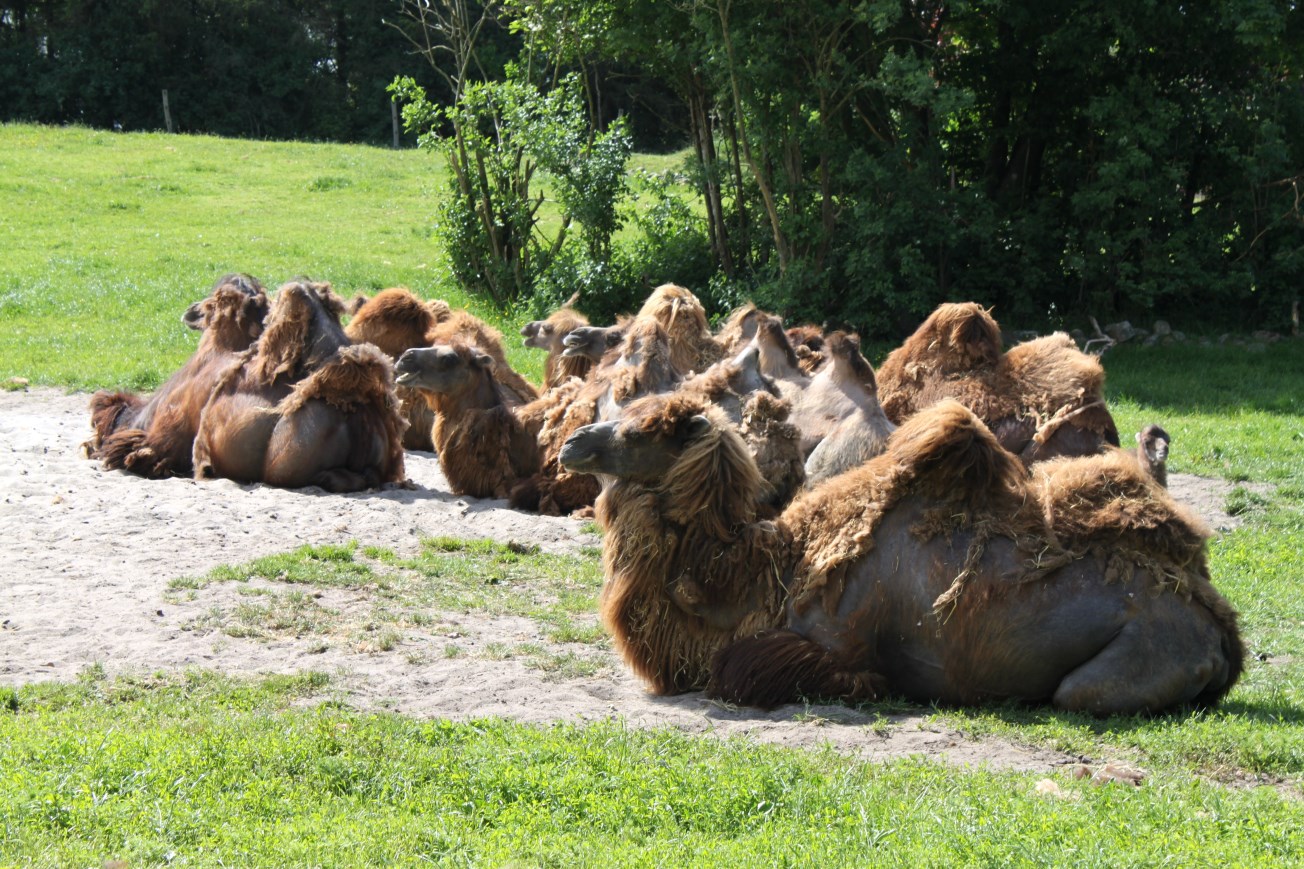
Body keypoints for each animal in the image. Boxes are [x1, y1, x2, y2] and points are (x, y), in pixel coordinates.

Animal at [559, 393, 1242, 715]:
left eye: (640, 430)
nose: (573, 441)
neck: (765, 576)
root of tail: (1222, 632)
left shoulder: (832, 647)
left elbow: (741, 670)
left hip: (1135, 657)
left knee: (1079, 693)